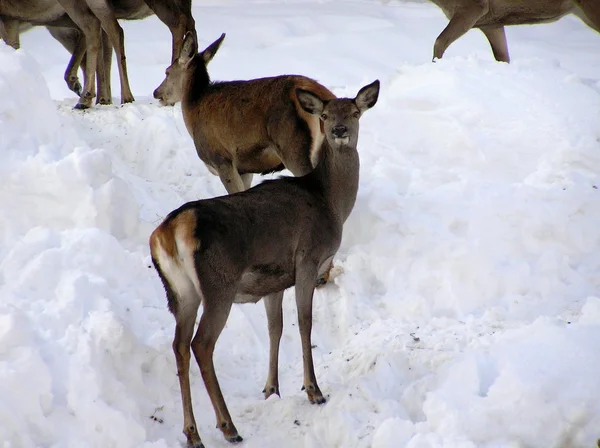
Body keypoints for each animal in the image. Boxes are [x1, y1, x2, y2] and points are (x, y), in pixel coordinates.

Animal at [150, 74, 380, 448]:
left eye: (356, 112)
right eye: (326, 115)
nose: (340, 131)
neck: (330, 202)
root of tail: (169, 232)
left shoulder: (274, 280)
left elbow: (276, 327)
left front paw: (271, 389)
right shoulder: (307, 260)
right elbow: (305, 322)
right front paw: (313, 389)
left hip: (182, 293)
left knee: (180, 346)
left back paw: (192, 432)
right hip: (219, 284)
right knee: (201, 345)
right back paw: (228, 426)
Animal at [152, 34, 338, 195]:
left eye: (167, 72)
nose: (156, 92)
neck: (193, 109)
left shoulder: (222, 159)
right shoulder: (245, 168)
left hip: (293, 147)